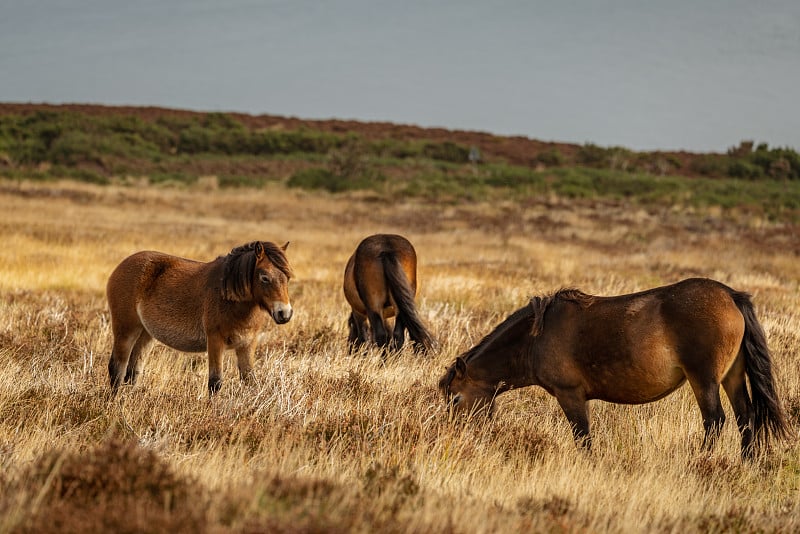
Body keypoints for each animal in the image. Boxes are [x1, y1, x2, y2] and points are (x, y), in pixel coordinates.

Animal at [107, 243, 294, 398]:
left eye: (287, 277)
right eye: (264, 278)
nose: (284, 313)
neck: (228, 296)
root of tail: (121, 266)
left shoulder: (246, 345)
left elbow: (250, 381)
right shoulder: (215, 341)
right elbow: (215, 382)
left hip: (146, 334)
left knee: (133, 372)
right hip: (126, 330)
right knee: (117, 368)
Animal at [440, 278, 792, 458]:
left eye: (456, 399)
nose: (454, 439)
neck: (535, 337)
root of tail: (730, 295)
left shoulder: (570, 396)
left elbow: (582, 438)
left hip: (703, 379)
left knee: (715, 421)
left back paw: (700, 461)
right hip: (732, 376)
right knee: (746, 418)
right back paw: (746, 463)